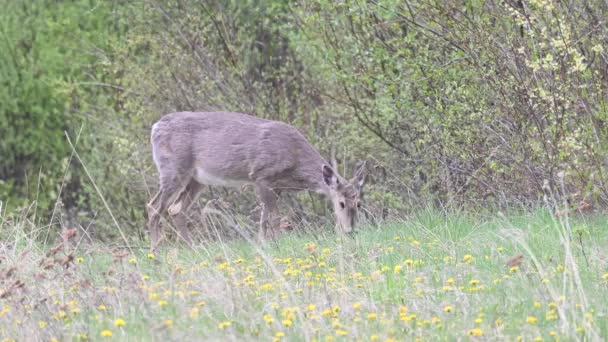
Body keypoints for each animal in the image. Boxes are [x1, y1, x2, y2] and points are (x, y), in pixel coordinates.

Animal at [147, 112, 366, 251]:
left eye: (359, 203)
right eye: (341, 203)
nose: (350, 230)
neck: (295, 161)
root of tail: (155, 127)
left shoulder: (277, 187)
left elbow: (264, 218)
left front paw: (263, 244)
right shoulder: (260, 176)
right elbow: (273, 218)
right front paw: (275, 245)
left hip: (196, 179)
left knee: (176, 209)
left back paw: (193, 249)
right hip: (173, 168)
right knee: (153, 206)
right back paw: (155, 252)